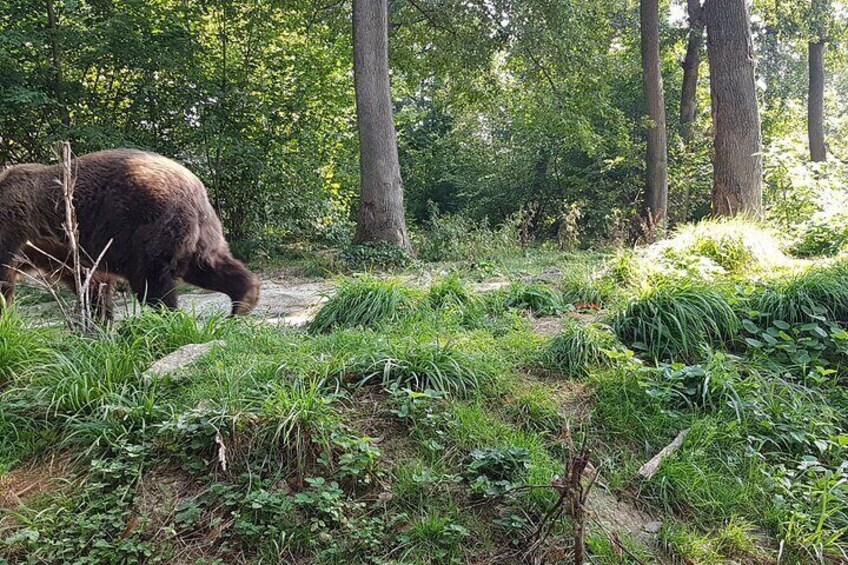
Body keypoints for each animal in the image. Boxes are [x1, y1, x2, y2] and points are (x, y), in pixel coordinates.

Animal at [0, 148, 260, 319]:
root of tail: (193, 185)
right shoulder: (70, 255)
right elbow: (92, 284)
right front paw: (98, 321)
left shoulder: (14, 230)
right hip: (198, 231)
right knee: (207, 265)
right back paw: (244, 299)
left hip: (147, 222)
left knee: (151, 279)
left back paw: (163, 317)